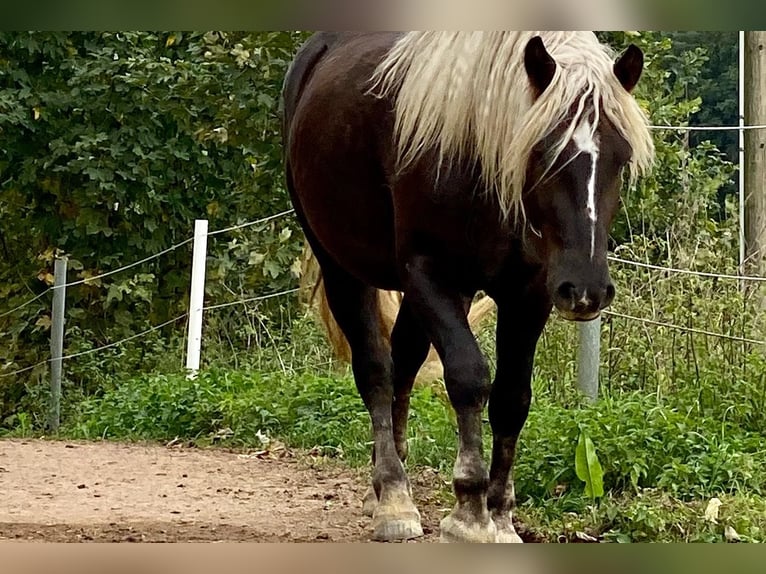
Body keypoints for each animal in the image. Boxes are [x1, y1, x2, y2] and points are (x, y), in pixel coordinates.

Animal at [281, 31, 654, 543]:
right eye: (544, 153)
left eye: (621, 157)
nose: (586, 291)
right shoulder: (429, 274)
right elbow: (468, 378)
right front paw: (469, 510)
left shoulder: (529, 294)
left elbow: (512, 396)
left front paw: (501, 513)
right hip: (341, 267)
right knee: (376, 369)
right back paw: (392, 496)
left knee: (404, 361)